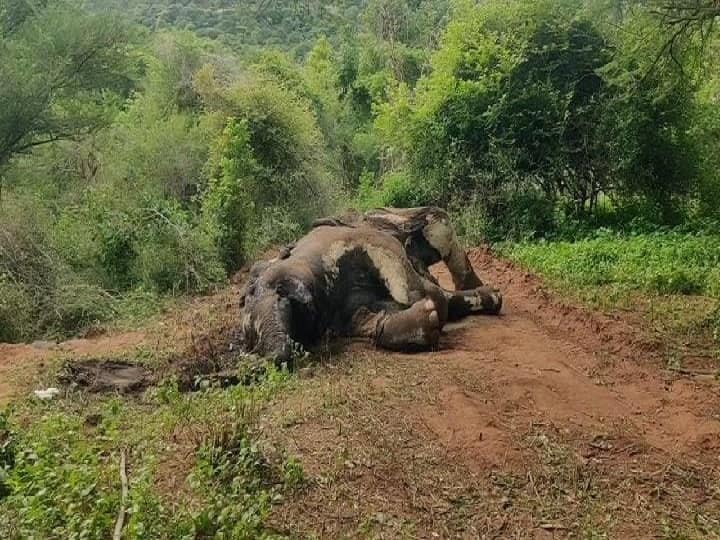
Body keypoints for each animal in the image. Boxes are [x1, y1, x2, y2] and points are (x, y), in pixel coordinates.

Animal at [240, 207, 500, 362]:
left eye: (250, 293)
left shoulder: (349, 240)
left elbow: (400, 268)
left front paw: (430, 297)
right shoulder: (341, 317)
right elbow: (382, 322)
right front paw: (430, 316)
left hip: (391, 216)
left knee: (436, 220)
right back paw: (490, 295)